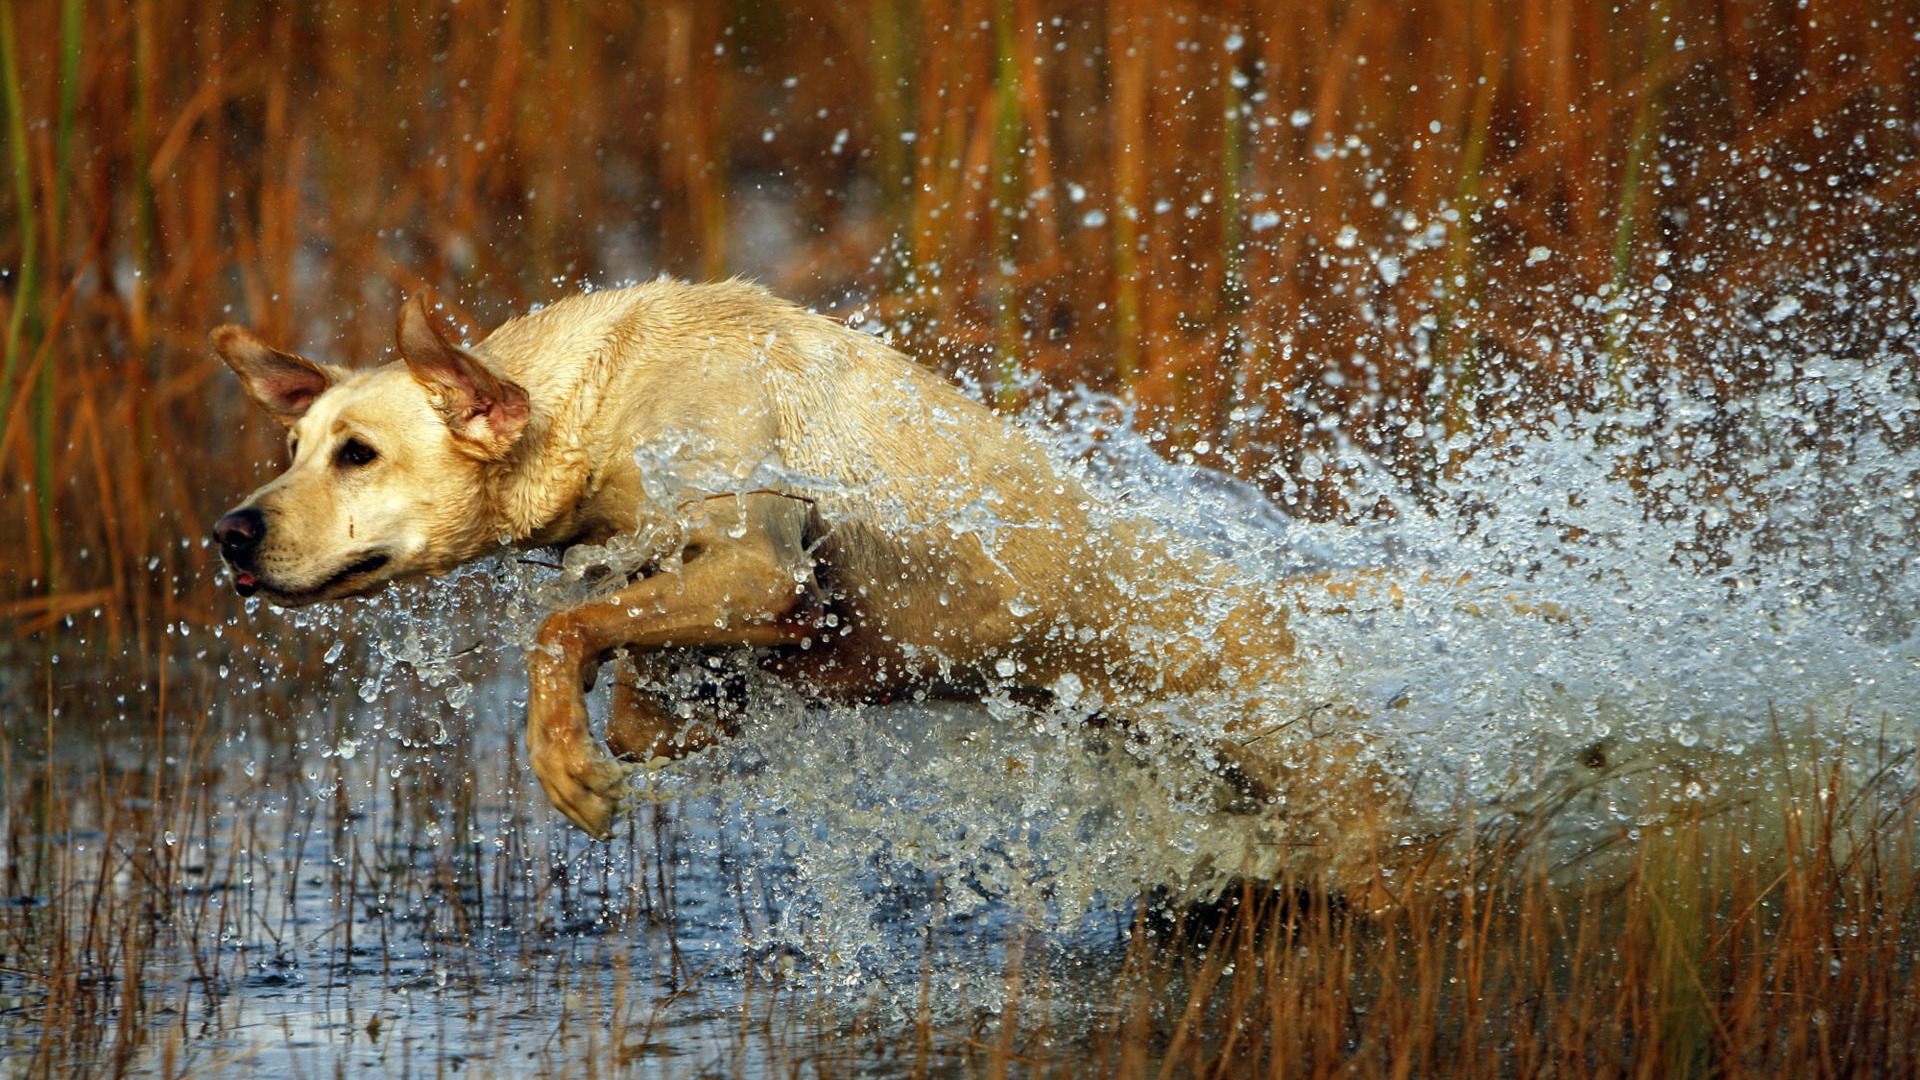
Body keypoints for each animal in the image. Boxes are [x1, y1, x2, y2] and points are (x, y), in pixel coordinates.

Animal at [217, 276, 1397, 883]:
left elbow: (564, 629)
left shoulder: (759, 557)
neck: (601, 399)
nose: (230, 532)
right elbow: (636, 681)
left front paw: (566, 763)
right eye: (293, 448)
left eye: (358, 453)